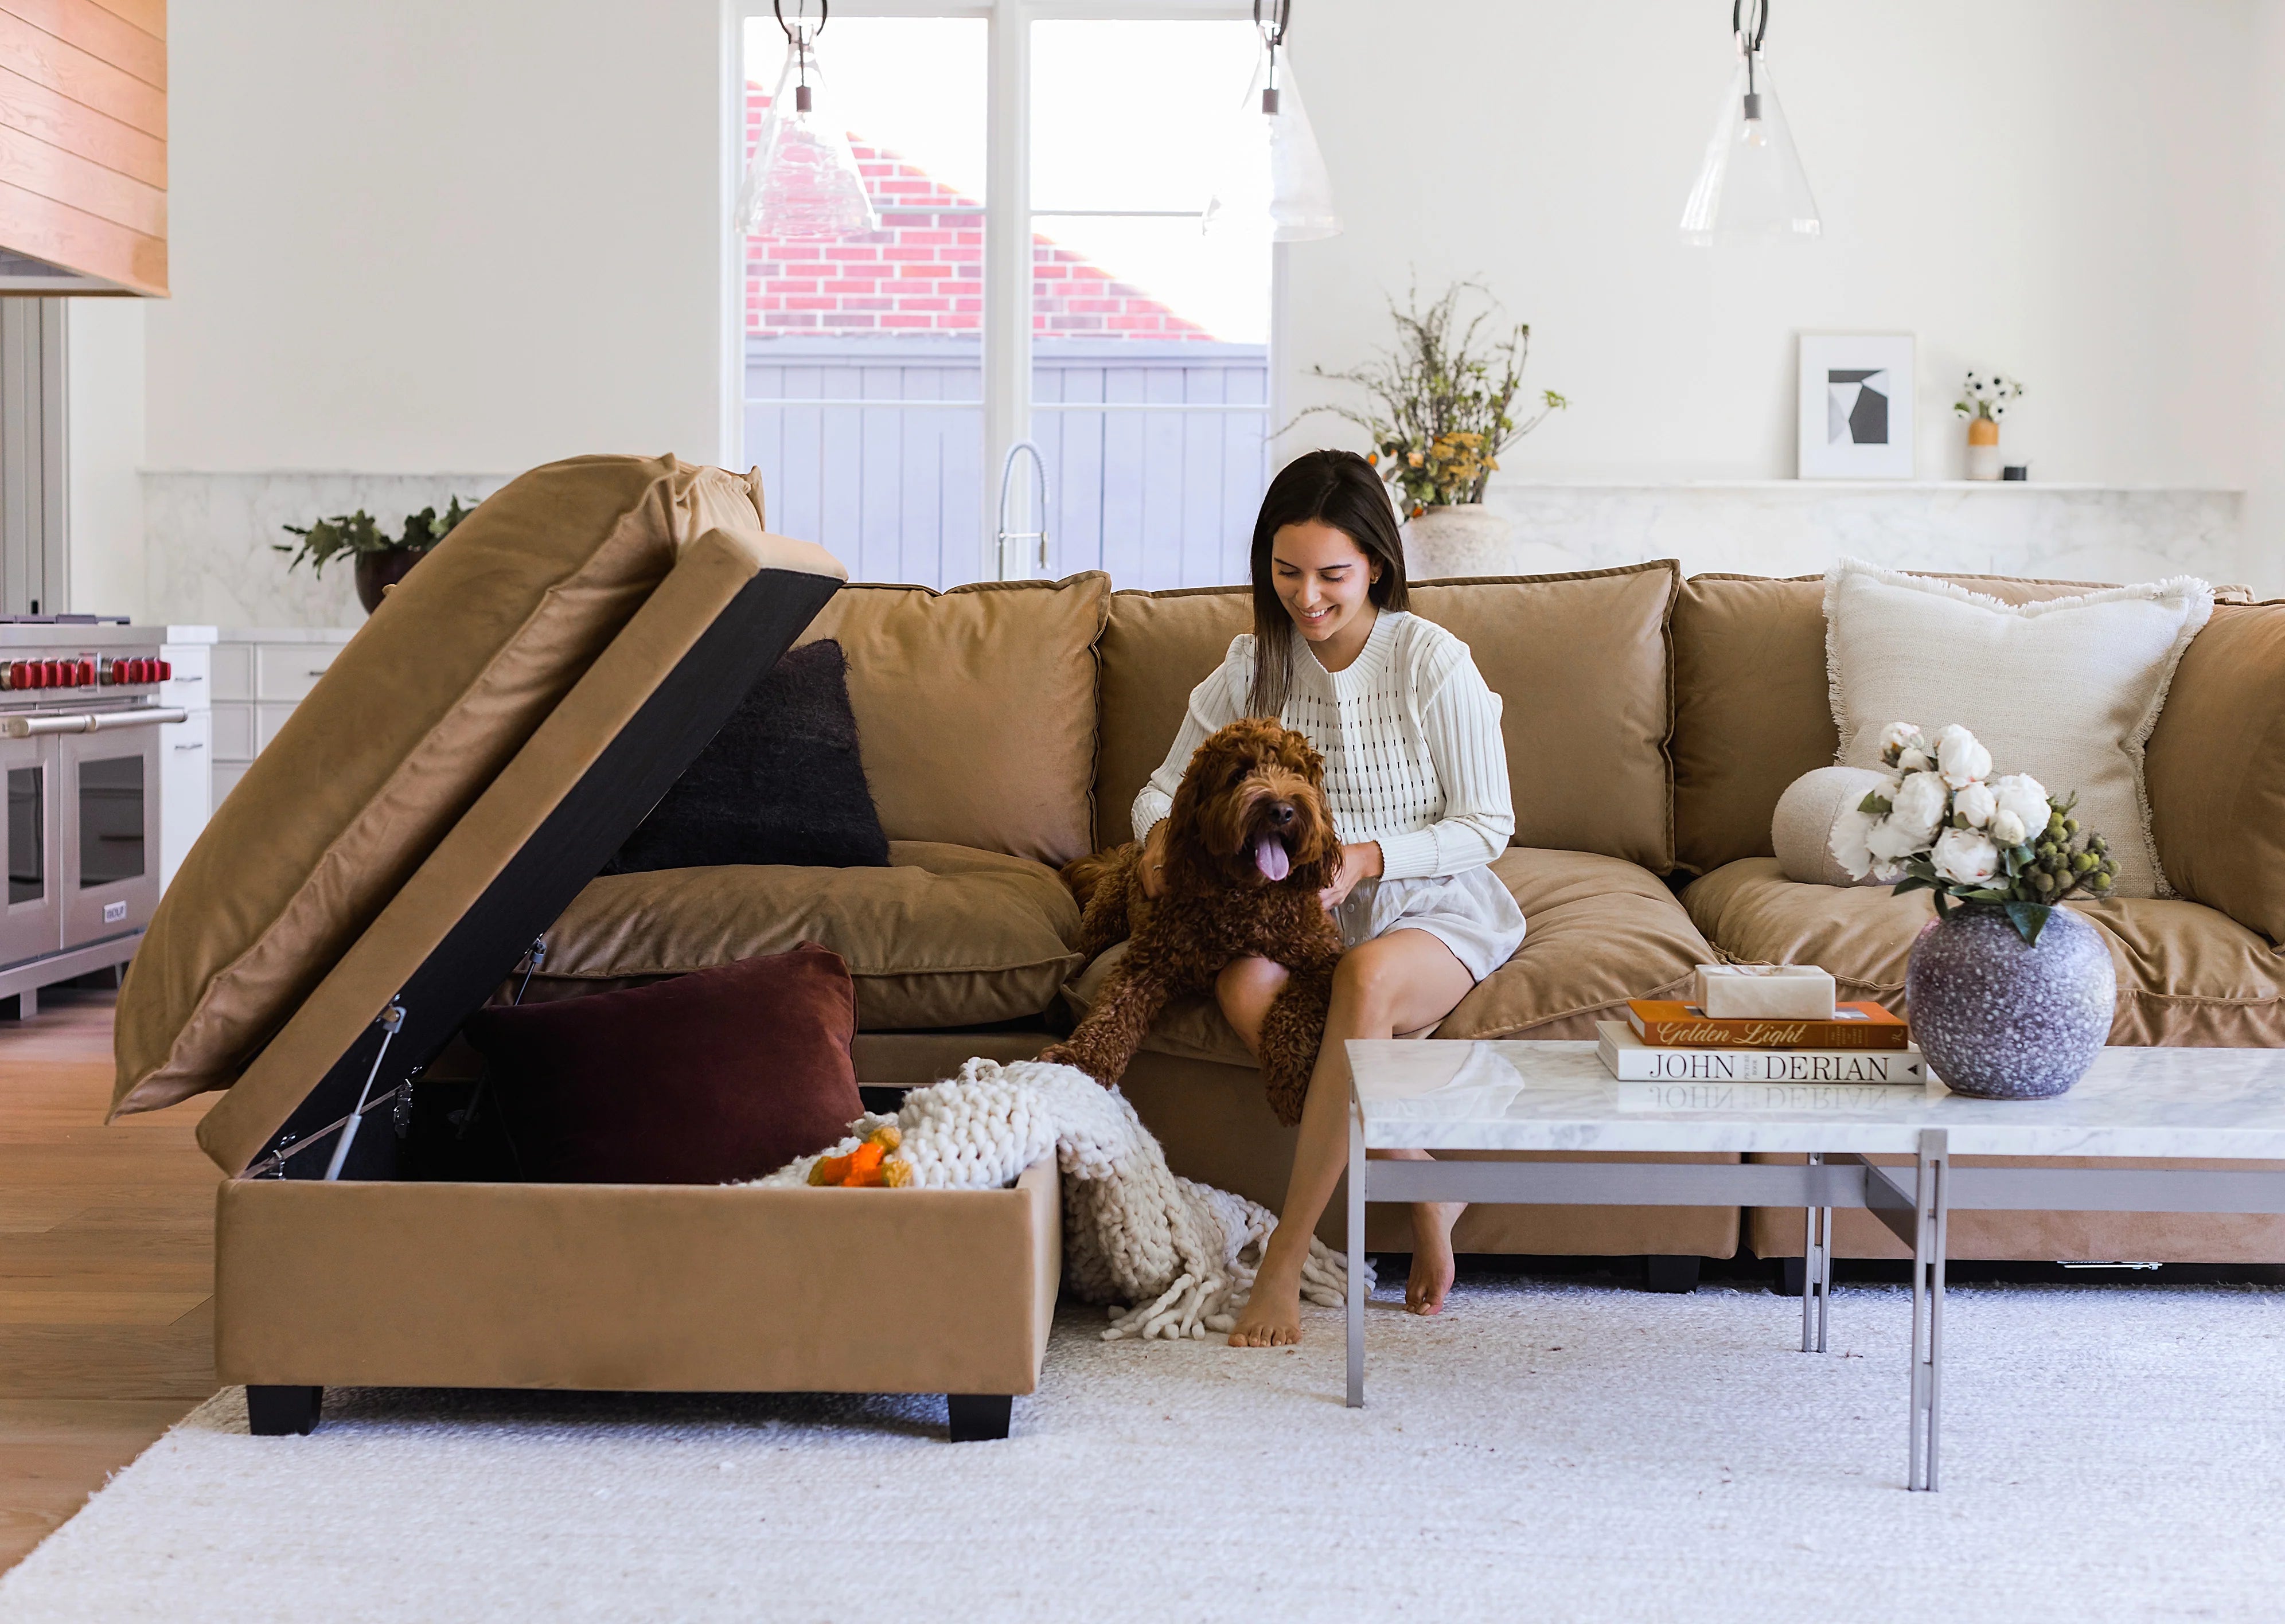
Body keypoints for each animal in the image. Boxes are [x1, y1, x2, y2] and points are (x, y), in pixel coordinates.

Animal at [1037, 717, 1334, 1123]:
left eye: (1296, 773)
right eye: (1239, 774)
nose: (1282, 810)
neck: (1245, 899)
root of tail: (1124, 851)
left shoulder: (1322, 958)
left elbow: (1298, 1011)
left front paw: (1295, 1083)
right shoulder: (1149, 962)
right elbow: (1112, 1014)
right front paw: (1078, 1061)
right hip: (1104, 922)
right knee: (1083, 953)